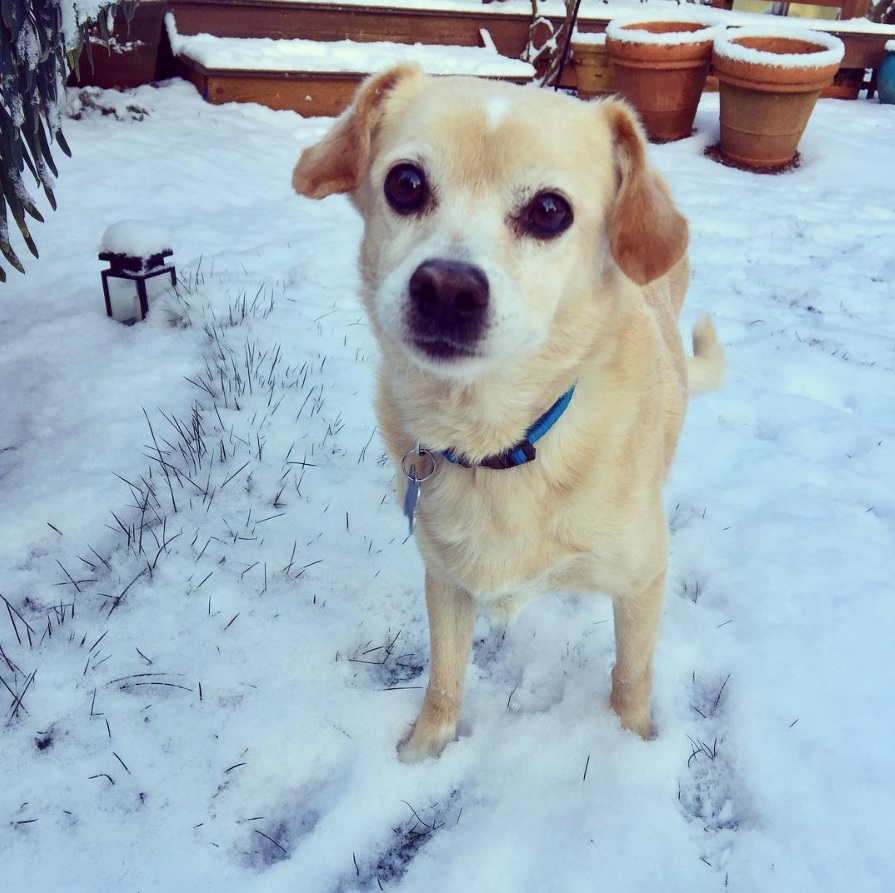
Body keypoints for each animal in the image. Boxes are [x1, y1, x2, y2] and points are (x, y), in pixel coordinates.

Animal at [294, 66, 728, 760]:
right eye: (405, 183)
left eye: (550, 211)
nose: (446, 288)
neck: (499, 438)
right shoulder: (444, 579)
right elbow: (445, 678)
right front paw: (422, 754)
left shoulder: (643, 581)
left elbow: (631, 676)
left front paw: (632, 745)